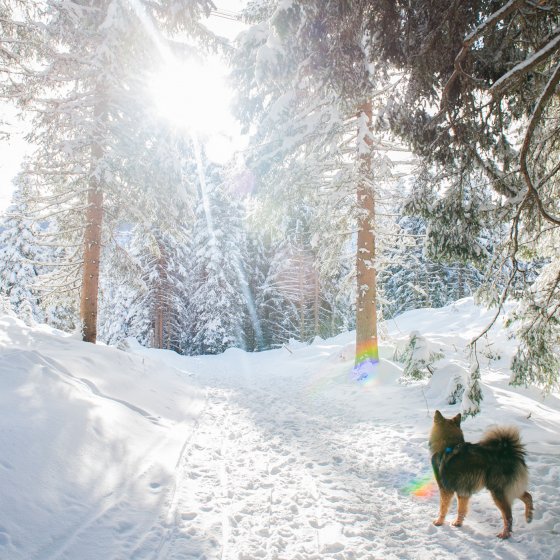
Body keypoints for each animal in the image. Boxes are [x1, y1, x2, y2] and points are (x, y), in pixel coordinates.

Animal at [428, 412, 532, 540]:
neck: (448, 445)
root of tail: (509, 451)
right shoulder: (463, 492)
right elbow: (461, 510)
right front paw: (458, 523)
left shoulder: (445, 490)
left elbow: (443, 508)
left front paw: (439, 522)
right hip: (510, 488)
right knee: (528, 496)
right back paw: (529, 516)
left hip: (498, 491)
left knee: (508, 516)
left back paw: (505, 534)